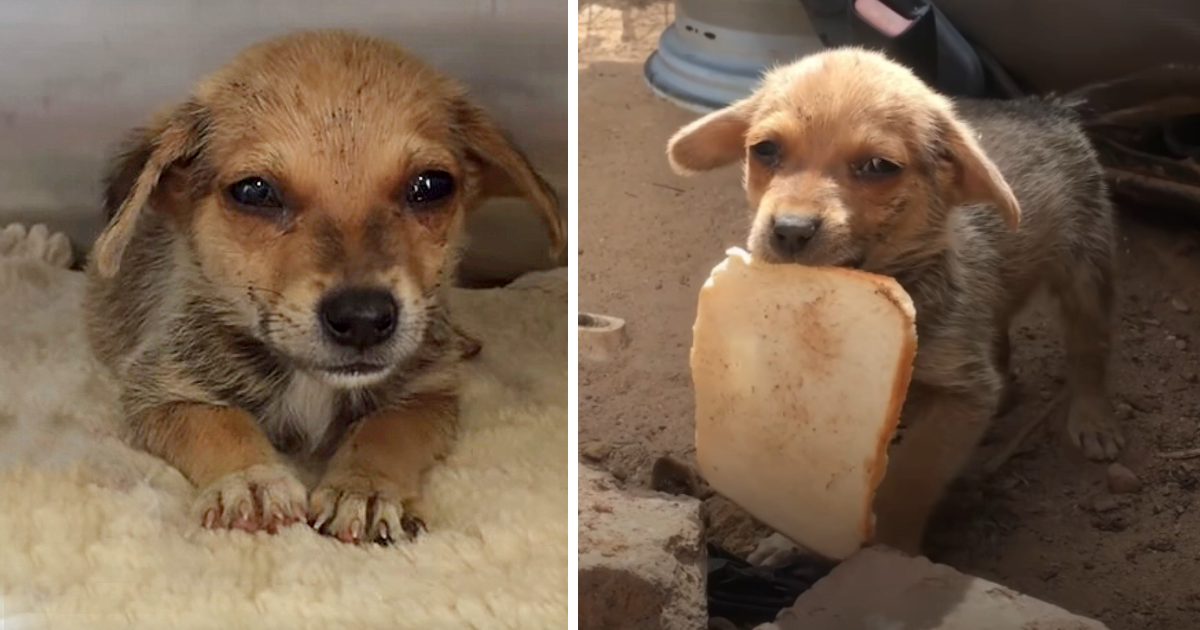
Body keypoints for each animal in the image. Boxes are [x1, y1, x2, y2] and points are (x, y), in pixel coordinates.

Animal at [84, 29, 561, 542]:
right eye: (254, 191)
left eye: (431, 186)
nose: (363, 318)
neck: (310, 381)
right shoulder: (161, 389)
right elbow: (221, 422)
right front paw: (253, 481)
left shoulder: (429, 394)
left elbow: (386, 430)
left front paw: (365, 488)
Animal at [672, 46, 1118, 552]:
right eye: (765, 149)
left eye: (879, 167)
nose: (789, 230)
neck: (898, 277)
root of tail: (1046, 107)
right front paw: (789, 542)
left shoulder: (961, 396)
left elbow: (911, 478)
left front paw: (893, 548)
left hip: (1087, 267)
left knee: (1090, 349)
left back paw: (1092, 419)